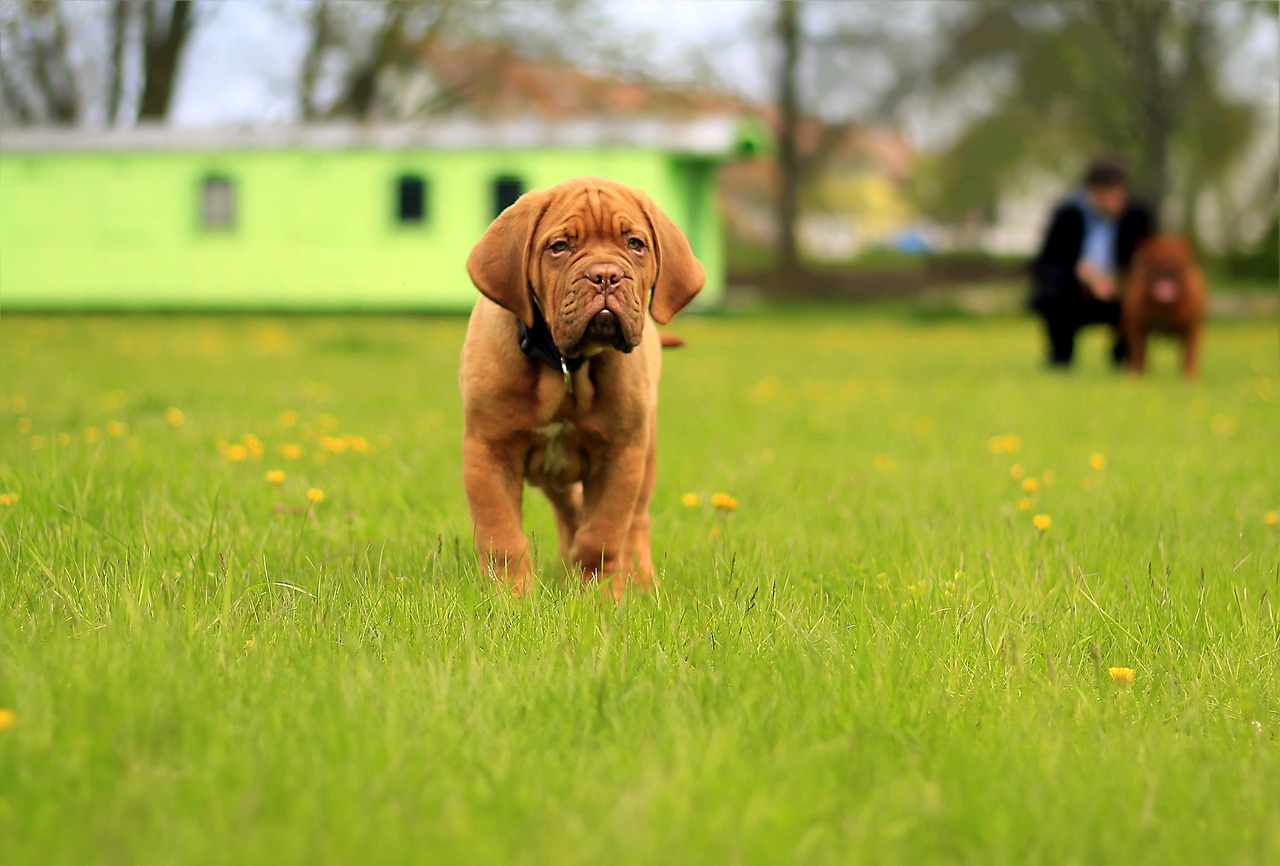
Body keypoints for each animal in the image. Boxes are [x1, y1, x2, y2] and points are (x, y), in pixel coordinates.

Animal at [460, 175, 706, 593]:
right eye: (560, 247)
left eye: (635, 244)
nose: (606, 275)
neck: (566, 366)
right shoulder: (489, 450)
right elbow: (502, 539)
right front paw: (511, 598)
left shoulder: (620, 455)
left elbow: (602, 535)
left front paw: (598, 595)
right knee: (570, 513)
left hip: (646, 454)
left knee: (635, 522)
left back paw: (642, 583)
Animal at [1121, 232, 1208, 378]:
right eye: (1157, 261)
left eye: (1177, 260)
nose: (1169, 267)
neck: (1165, 306)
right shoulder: (1138, 328)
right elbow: (1140, 355)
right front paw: (1138, 378)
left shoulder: (1191, 329)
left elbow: (1189, 356)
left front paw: (1189, 379)